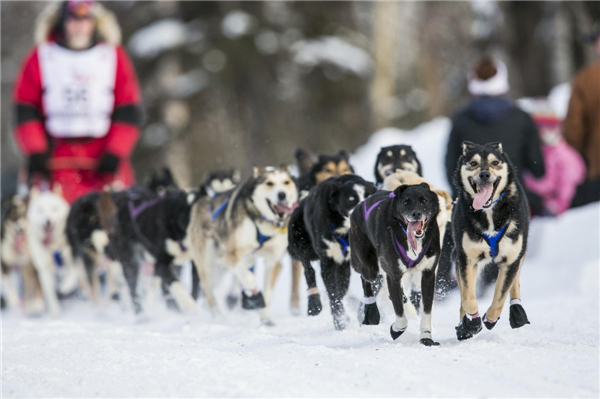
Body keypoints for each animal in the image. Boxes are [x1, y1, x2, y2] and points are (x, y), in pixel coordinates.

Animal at [26, 186, 78, 318]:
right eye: (40, 210)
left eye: (54, 209)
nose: (47, 221)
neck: (53, 247)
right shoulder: (45, 270)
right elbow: (50, 292)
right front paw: (55, 311)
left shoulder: (73, 257)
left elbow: (72, 275)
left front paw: (65, 286)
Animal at [189, 166, 298, 324]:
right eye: (269, 183)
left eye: (286, 182)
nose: (282, 194)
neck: (263, 222)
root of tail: (205, 200)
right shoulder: (231, 255)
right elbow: (249, 278)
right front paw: (253, 289)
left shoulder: (273, 261)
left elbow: (267, 291)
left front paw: (265, 319)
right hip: (208, 265)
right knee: (209, 292)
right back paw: (219, 318)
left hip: (225, 266)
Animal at [286, 177, 376, 330]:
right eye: (351, 198)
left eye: (368, 196)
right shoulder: (327, 260)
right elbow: (333, 291)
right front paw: (339, 319)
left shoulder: (345, 262)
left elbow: (340, 289)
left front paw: (341, 317)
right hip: (300, 242)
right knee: (308, 269)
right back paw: (314, 302)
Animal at [452, 142, 532, 342]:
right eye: (473, 163)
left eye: (495, 162)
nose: (484, 175)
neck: (488, 212)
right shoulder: (466, 258)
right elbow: (468, 298)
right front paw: (471, 322)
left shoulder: (511, 260)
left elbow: (499, 299)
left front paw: (489, 319)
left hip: (520, 251)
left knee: (515, 282)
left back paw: (517, 310)